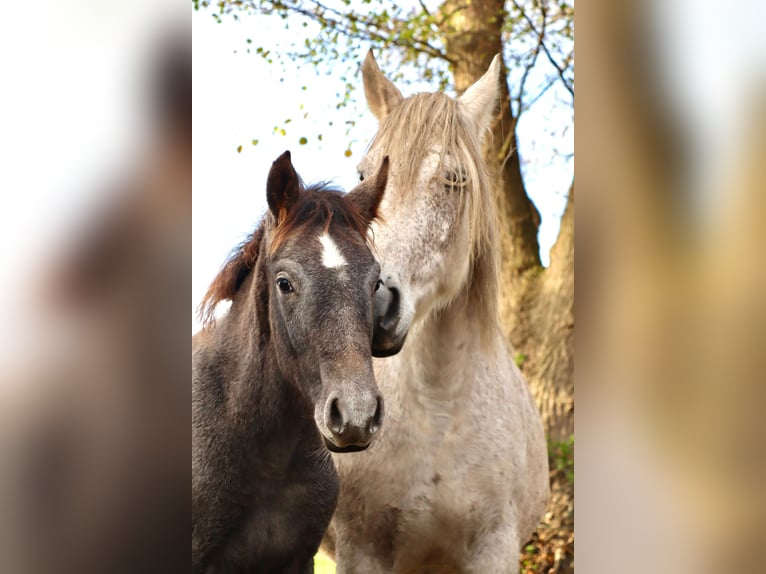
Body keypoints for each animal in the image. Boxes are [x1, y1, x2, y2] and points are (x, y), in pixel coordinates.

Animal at [325, 52, 550, 573]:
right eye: (363, 176)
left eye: (455, 180)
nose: (368, 304)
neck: (439, 413)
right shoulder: (360, 550)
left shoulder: (495, 548)